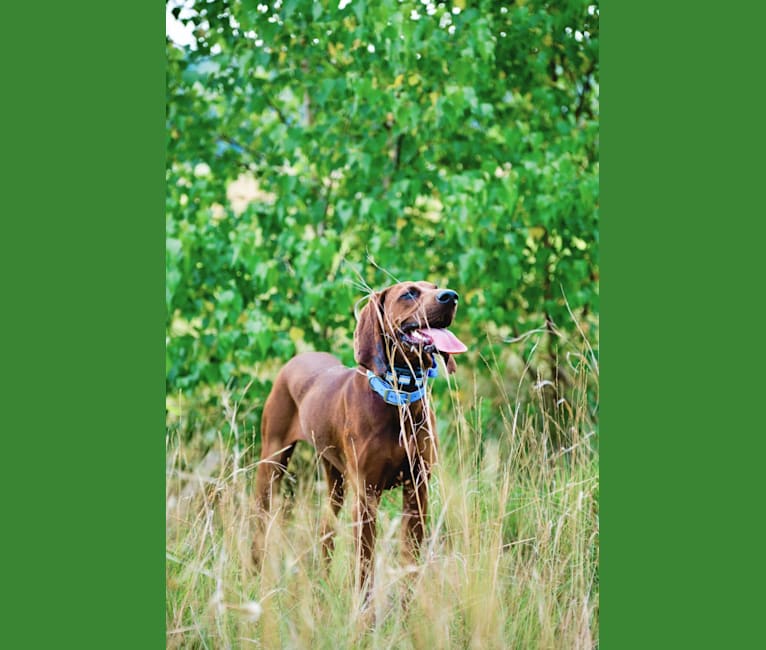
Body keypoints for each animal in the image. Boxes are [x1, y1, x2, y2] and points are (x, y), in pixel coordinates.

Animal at [254, 278, 468, 588]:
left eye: (436, 286)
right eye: (409, 293)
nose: (450, 297)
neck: (399, 399)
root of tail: (297, 358)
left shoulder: (417, 492)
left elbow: (410, 563)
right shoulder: (366, 496)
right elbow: (365, 569)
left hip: (334, 479)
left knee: (326, 528)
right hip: (272, 463)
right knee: (259, 522)